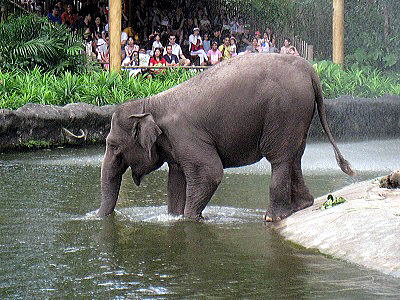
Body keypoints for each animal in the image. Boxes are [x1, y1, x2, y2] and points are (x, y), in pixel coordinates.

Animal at [97, 54, 354, 221]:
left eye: (113, 145)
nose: (99, 217)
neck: (149, 103)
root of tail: (310, 70)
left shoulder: (185, 135)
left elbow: (209, 173)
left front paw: (191, 218)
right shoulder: (175, 144)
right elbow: (176, 181)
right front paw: (175, 216)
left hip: (284, 111)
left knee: (280, 158)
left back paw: (273, 217)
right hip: (298, 115)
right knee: (295, 156)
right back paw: (303, 205)